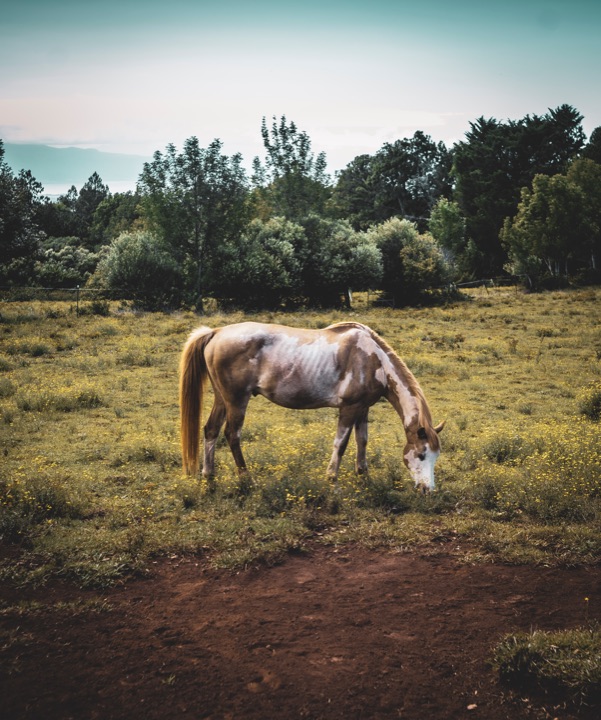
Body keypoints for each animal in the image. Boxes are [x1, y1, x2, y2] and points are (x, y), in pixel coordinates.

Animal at [179, 321, 444, 491]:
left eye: (435, 456)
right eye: (421, 454)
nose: (427, 490)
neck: (372, 359)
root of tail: (216, 332)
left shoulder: (363, 408)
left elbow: (362, 441)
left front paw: (363, 476)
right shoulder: (349, 408)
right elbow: (341, 444)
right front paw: (332, 479)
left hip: (222, 399)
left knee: (211, 430)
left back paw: (209, 476)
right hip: (237, 400)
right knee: (232, 435)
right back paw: (247, 480)